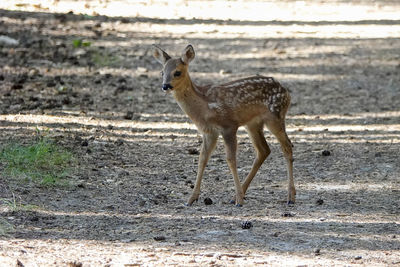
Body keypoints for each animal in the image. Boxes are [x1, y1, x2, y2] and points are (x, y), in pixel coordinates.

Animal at [152, 44, 296, 207]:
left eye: (177, 72)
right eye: (162, 72)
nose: (165, 86)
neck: (205, 106)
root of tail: (287, 92)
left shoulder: (228, 126)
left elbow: (231, 160)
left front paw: (239, 200)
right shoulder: (209, 132)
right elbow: (202, 159)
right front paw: (191, 199)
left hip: (275, 116)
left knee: (287, 146)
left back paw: (290, 197)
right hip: (253, 124)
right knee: (264, 150)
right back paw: (237, 195)